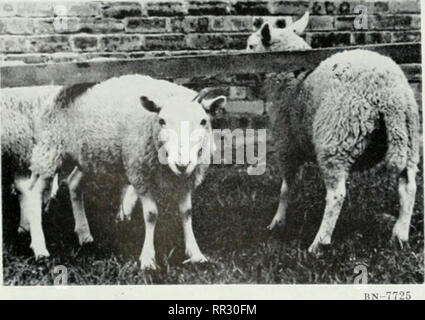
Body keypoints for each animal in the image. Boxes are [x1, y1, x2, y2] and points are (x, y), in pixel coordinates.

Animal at [29, 74, 225, 268]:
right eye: (162, 121)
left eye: (203, 121)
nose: (182, 164)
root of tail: (62, 90)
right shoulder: (140, 175)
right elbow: (151, 215)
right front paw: (147, 259)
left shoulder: (186, 179)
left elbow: (186, 212)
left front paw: (195, 253)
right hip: (50, 148)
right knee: (35, 192)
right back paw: (39, 247)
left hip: (87, 156)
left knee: (74, 183)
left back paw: (84, 234)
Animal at [247, 12, 420, 254]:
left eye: (251, 45)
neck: (295, 76)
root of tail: (389, 95)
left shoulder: (287, 142)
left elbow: (286, 187)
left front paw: (277, 222)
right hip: (408, 137)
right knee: (408, 186)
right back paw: (400, 235)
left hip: (337, 139)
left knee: (337, 194)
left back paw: (318, 243)